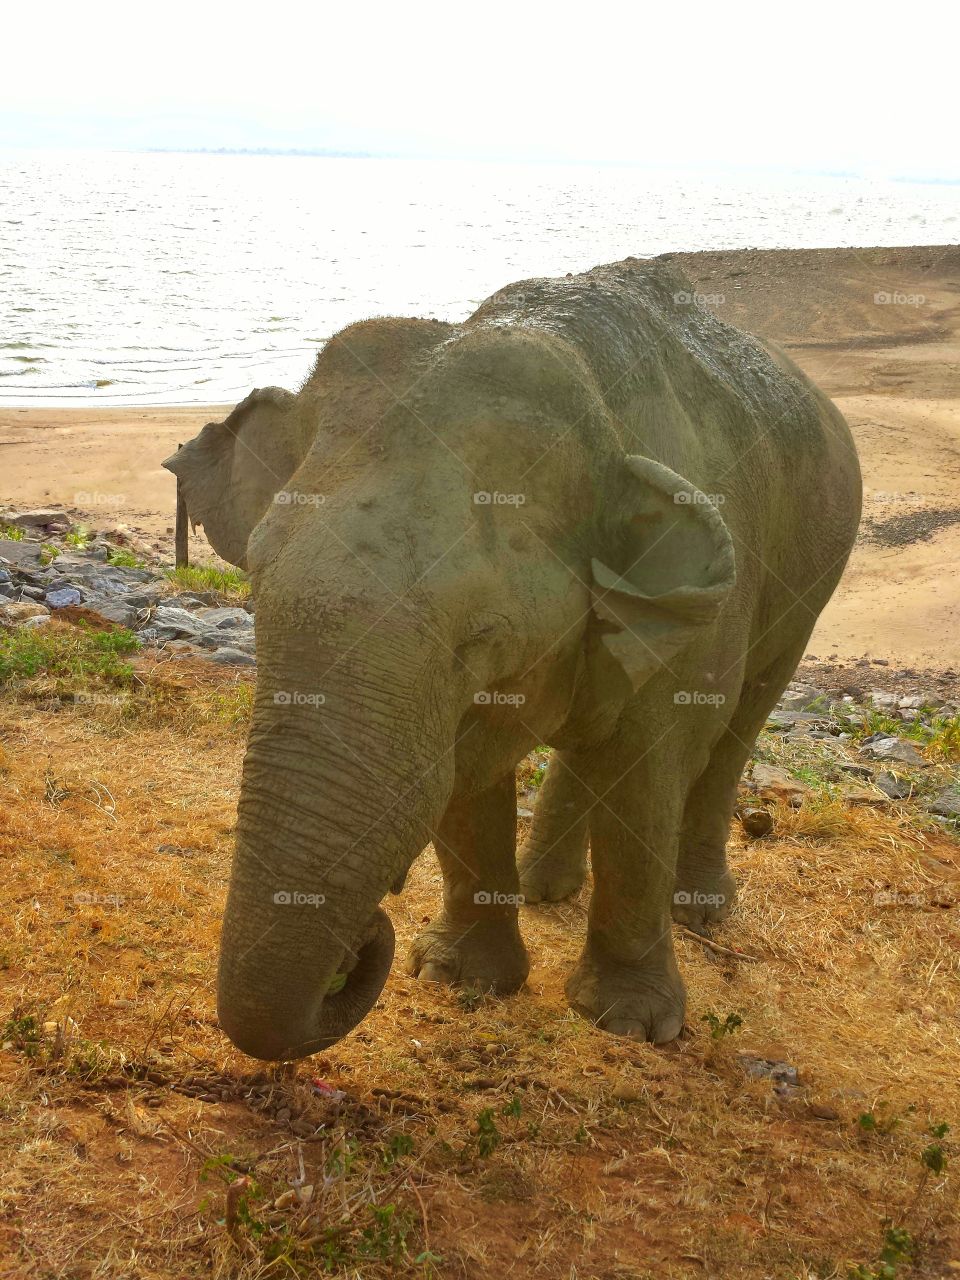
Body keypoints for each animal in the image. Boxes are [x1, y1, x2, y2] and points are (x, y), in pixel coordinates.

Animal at [163, 256, 861, 1061]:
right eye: (257, 587)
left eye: (482, 635)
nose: (363, 944)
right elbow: (460, 782)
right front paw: (457, 976)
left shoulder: (699, 612)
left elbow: (647, 777)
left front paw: (629, 1024)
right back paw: (541, 886)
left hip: (814, 572)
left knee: (738, 724)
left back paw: (701, 911)